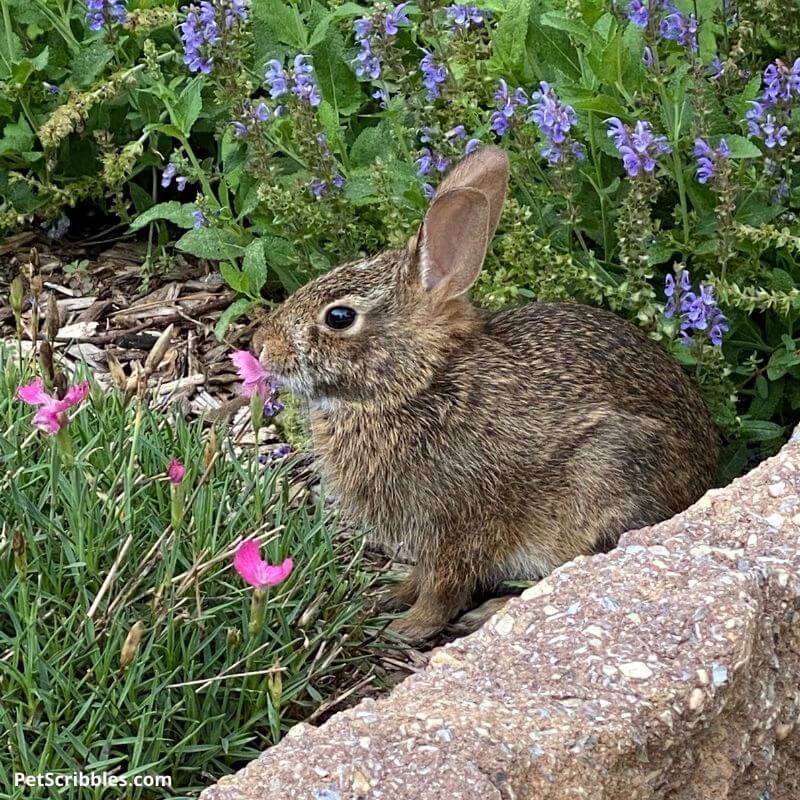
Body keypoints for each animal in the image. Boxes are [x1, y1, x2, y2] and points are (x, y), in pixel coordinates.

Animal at [253, 145, 720, 644]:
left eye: (339, 317)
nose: (261, 346)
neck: (417, 383)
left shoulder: (459, 524)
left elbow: (443, 586)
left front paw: (408, 627)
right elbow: (421, 575)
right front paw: (390, 597)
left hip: (603, 489)